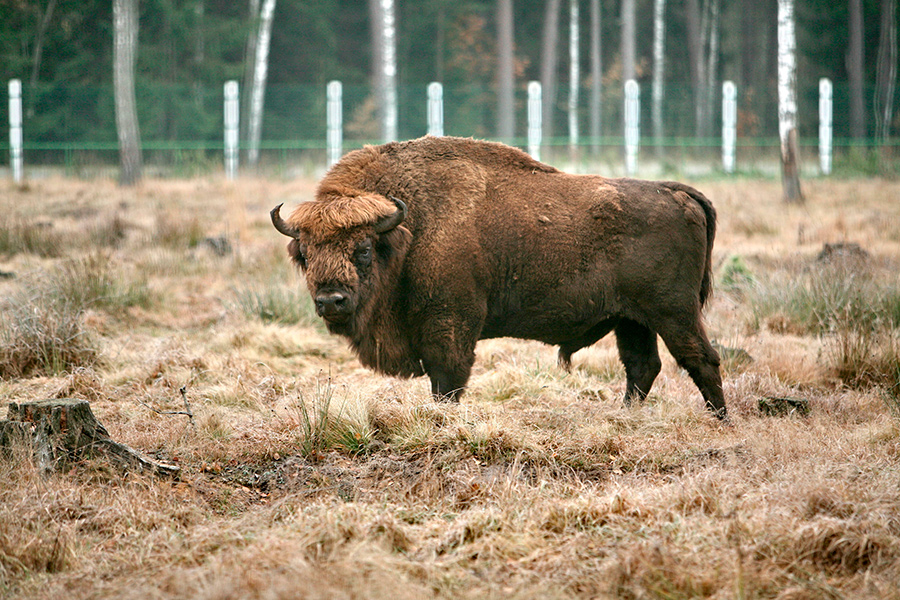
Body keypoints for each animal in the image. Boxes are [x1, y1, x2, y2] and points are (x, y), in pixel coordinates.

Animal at [270, 135, 728, 418]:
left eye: (363, 249)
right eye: (305, 254)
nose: (331, 301)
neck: (409, 228)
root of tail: (677, 192)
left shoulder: (450, 327)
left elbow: (447, 382)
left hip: (672, 312)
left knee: (701, 359)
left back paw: (720, 421)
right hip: (631, 319)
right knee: (642, 367)